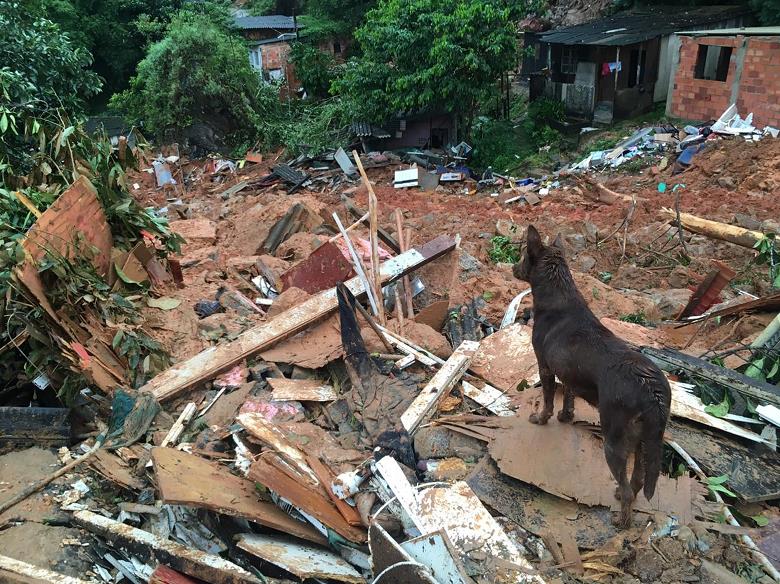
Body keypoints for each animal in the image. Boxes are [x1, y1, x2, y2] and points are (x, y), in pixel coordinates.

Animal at [512, 226, 672, 528]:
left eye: (523, 255)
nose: (512, 268)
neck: (558, 296)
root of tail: (651, 391)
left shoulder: (545, 367)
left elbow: (548, 399)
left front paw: (541, 419)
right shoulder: (568, 373)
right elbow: (568, 396)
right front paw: (566, 417)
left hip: (615, 439)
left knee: (626, 484)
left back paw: (621, 521)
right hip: (644, 440)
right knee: (636, 479)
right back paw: (623, 499)